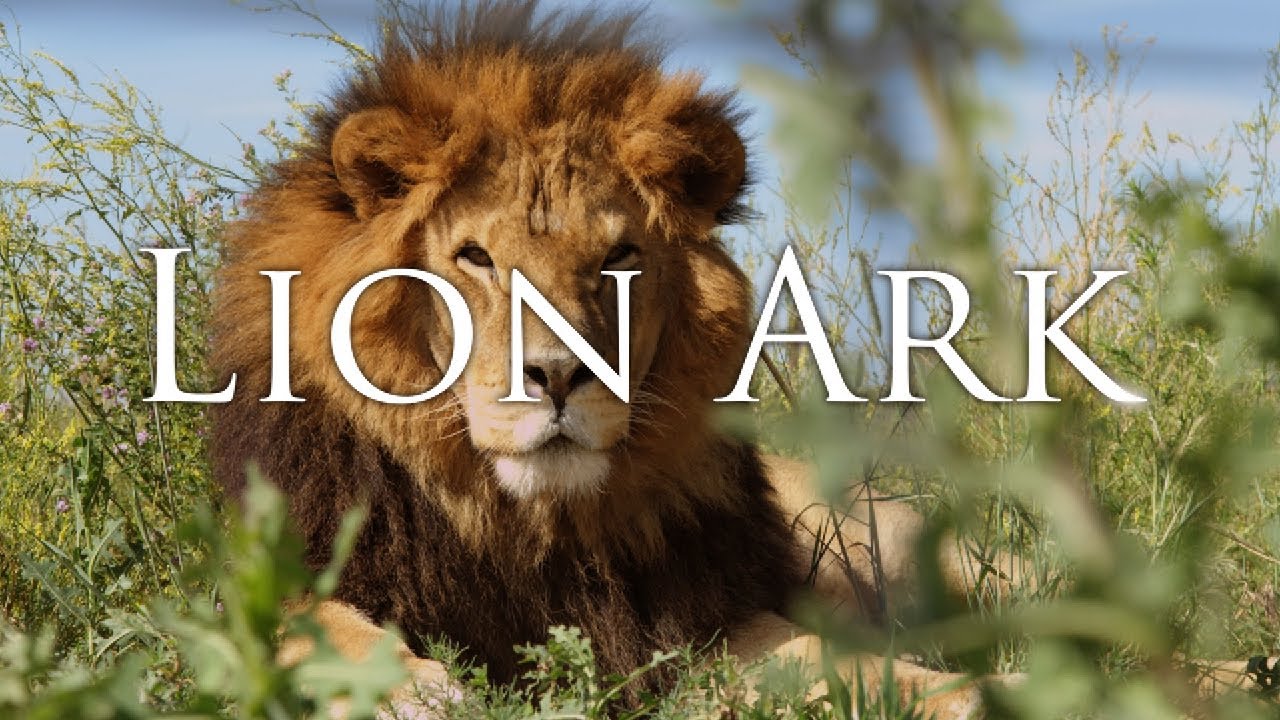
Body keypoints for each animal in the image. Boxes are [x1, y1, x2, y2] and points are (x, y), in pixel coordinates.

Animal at [209, 2, 1272, 717]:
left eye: (620, 256)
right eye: (473, 257)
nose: (557, 379)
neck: (533, 527)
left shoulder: (712, 624)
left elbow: (862, 668)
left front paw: (991, 693)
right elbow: (310, 625)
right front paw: (406, 690)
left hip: (922, 554)